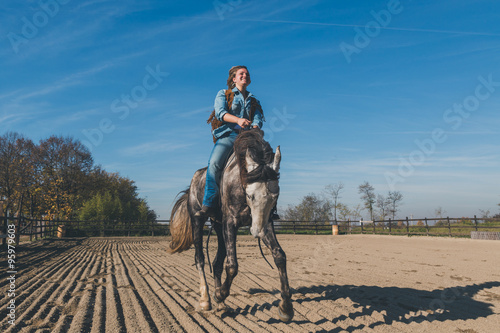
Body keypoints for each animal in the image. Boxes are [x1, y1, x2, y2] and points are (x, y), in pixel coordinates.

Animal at [168, 128, 292, 320]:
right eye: (250, 195)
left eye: (275, 197)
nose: (257, 232)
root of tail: (194, 182)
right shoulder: (230, 223)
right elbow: (232, 266)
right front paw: (219, 294)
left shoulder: (265, 223)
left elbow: (279, 256)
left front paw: (286, 307)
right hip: (198, 221)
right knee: (200, 259)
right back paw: (206, 300)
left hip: (219, 228)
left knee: (217, 263)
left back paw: (222, 305)